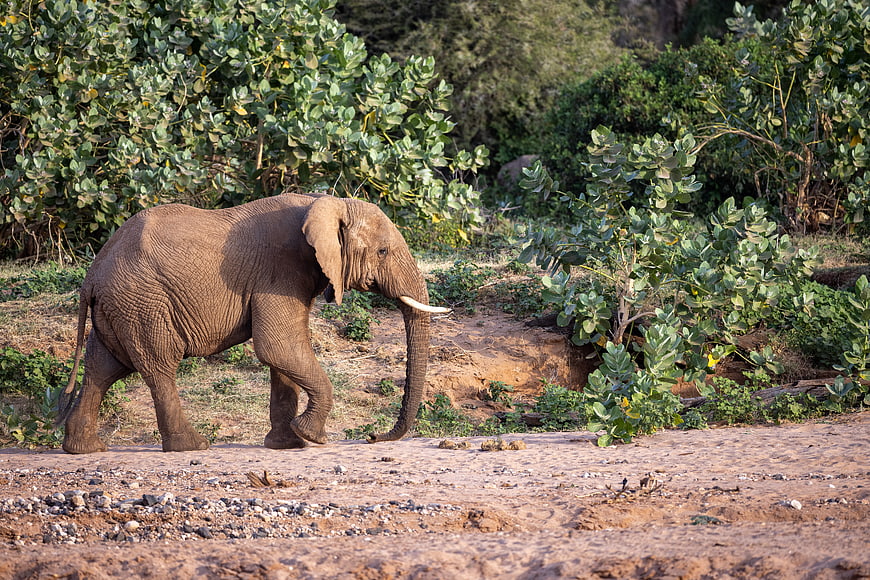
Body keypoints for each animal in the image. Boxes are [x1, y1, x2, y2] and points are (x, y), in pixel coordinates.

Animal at [57, 193, 447, 454]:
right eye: (382, 252)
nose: (372, 436)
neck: (325, 202)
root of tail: (92, 276)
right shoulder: (281, 269)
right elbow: (279, 346)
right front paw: (313, 437)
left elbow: (284, 356)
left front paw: (289, 444)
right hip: (143, 303)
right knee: (159, 367)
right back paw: (193, 446)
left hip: (119, 307)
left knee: (103, 368)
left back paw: (84, 449)